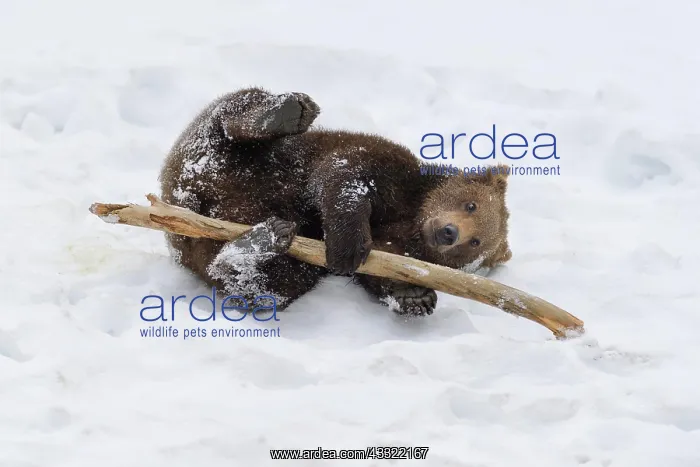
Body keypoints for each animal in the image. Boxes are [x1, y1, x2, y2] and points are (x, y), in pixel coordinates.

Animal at [159, 87, 512, 316]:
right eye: (470, 204)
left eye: (477, 242)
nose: (448, 233)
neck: (412, 215)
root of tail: (189, 203)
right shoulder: (389, 167)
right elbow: (344, 176)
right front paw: (348, 247)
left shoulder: (402, 246)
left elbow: (383, 271)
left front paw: (414, 295)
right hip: (208, 150)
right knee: (233, 112)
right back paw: (287, 112)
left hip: (226, 246)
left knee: (268, 285)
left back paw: (261, 242)